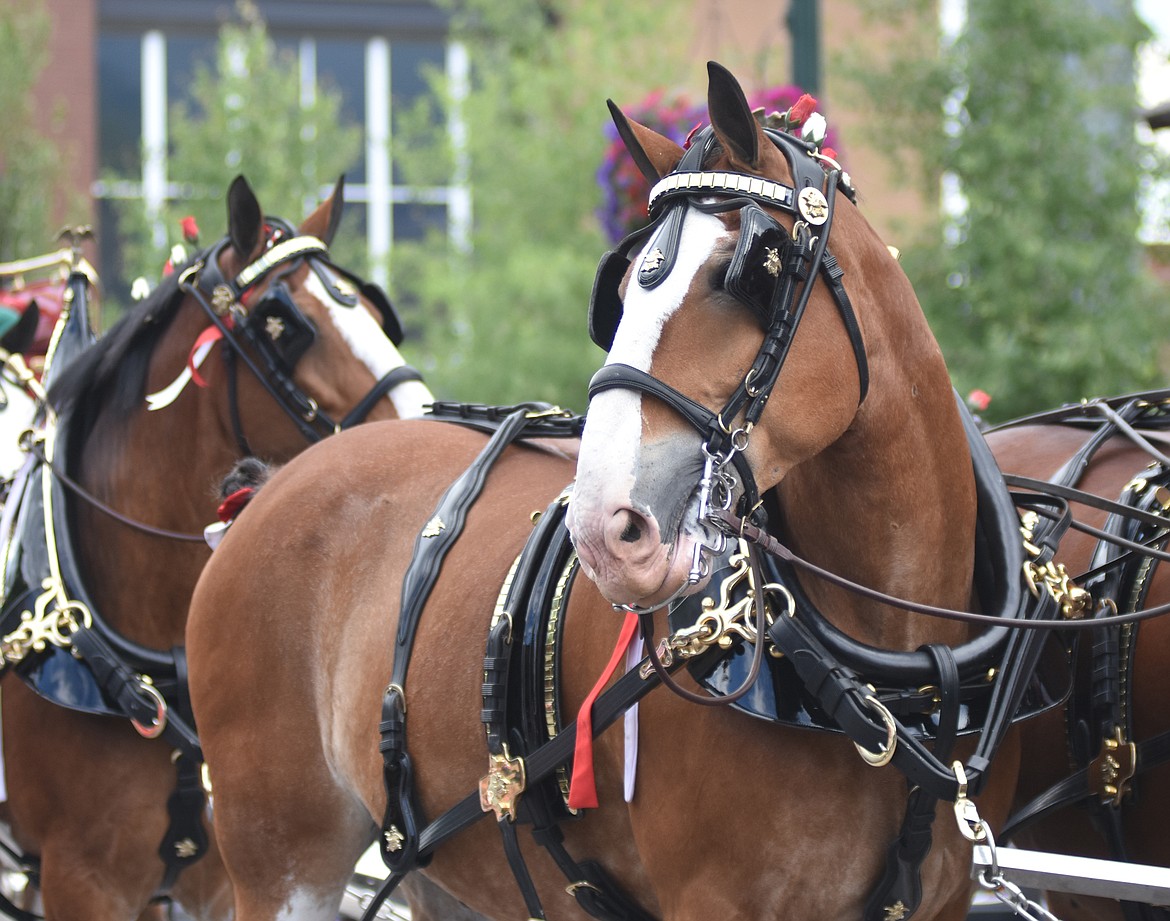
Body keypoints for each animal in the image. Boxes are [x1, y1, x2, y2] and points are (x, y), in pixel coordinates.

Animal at [182, 66, 1024, 921]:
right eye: (619, 287)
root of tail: (271, 489)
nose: (605, 529)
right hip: (281, 860)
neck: (890, 681)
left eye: (744, 271)